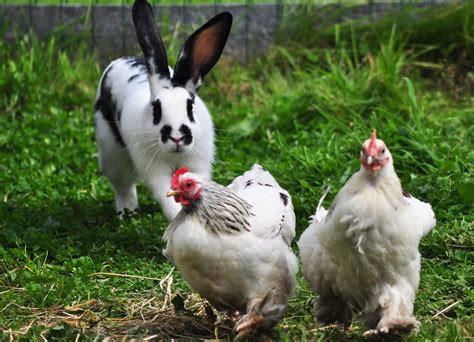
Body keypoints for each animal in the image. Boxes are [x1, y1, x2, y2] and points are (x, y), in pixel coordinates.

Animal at [93, 0, 232, 219]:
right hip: (111, 151)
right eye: (156, 109)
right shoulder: (155, 170)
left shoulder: (197, 164)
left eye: (190, 107)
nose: (177, 137)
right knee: (123, 184)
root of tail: (120, 60)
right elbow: (166, 196)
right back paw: (127, 212)